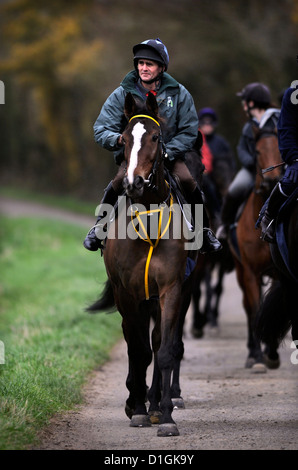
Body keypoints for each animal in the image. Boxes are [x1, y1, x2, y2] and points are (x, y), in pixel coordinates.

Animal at [88, 92, 200, 436]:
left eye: (155, 137)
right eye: (123, 139)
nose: (134, 182)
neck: (148, 224)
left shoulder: (171, 290)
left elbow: (162, 351)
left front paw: (165, 416)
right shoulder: (127, 293)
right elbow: (137, 351)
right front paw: (136, 409)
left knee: (158, 343)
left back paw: (153, 405)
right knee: (133, 343)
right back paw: (136, 401)